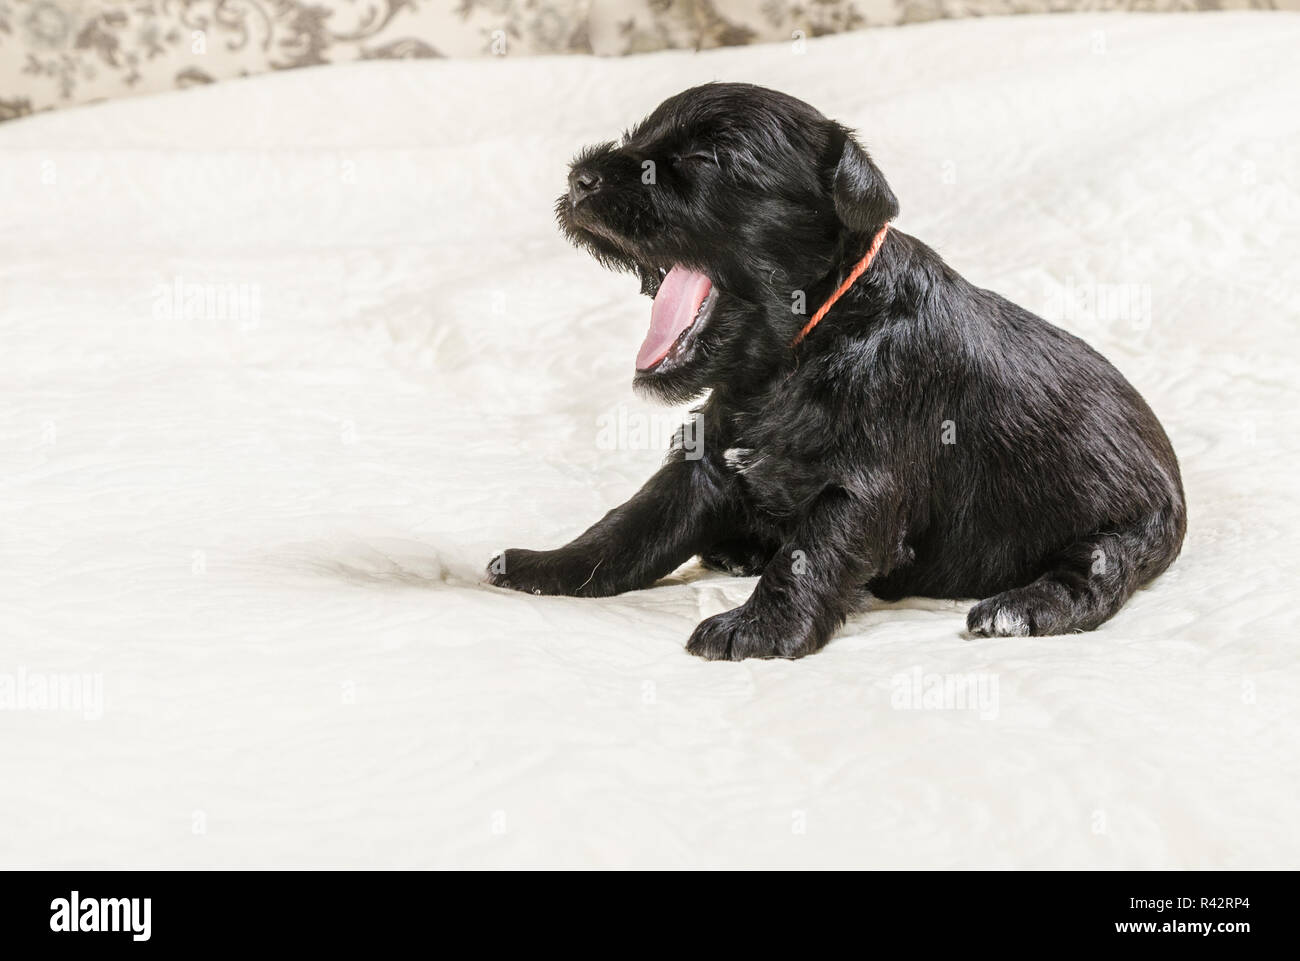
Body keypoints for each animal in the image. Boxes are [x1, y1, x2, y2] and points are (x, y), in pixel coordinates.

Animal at [483, 84, 1185, 660]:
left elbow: (809, 552)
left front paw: (756, 631)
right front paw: (545, 567)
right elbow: (632, 523)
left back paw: (1021, 608)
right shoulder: (705, 458)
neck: (803, 345)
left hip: (1126, 528)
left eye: (707, 159)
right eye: (637, 139)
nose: (581, 178)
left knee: (1094, 571)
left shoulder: (862, 483)